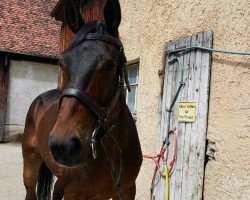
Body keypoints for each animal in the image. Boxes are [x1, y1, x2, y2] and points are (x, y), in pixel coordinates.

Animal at [21, 0, 143, 199]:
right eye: (62, 62)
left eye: (111, 65)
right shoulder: (75, 193)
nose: (63, 145)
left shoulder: (127, 190)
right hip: (30, 167)